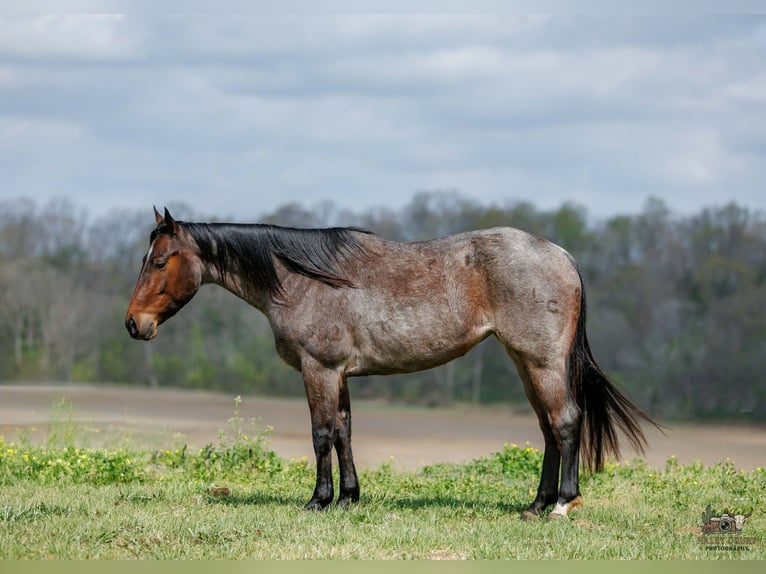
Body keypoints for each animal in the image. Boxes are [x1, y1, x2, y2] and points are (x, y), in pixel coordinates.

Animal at [126, 207, 657, 519]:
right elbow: (344, 431)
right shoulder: (338, 374)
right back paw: (536, 504)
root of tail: (562, 256)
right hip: (525, 363)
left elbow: (321, 434)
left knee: (565, 421)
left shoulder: (319, 370)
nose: (134, 324)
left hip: (542, 362)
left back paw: (563, 504)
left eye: (159, 261)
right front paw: (348, 497)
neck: (304, 280)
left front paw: (318, 500)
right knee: (548, 427)